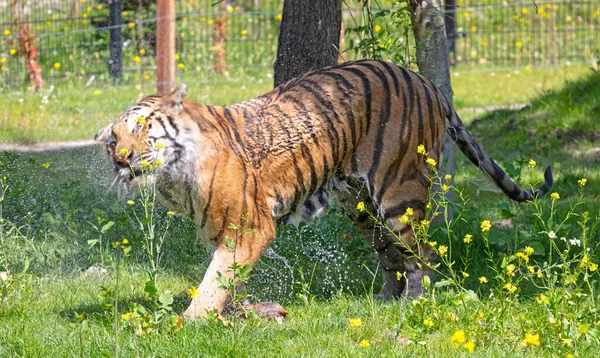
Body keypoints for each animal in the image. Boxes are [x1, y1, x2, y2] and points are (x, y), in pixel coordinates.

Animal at [95, 60, 552, 320]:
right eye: (112, 140)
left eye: (141, 127)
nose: (120, 158)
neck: (173, 176)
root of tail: (425, 80)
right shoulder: (220, 232)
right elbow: (226, 279)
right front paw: (230, 314)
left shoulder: (249, 228)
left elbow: (214, 281)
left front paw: (187, 323)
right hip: (360, 207)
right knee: (390, 257)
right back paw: (382, 301)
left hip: (399, 196)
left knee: (423, 254)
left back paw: (412, 305)